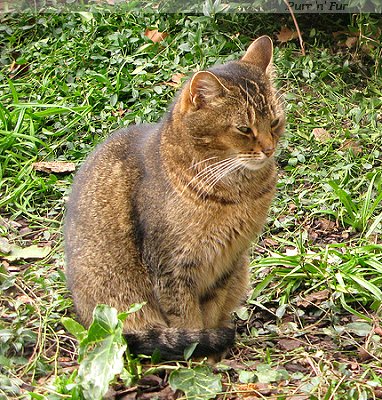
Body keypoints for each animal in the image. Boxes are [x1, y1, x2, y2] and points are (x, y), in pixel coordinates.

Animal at [64, 34, 284, 360]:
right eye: (244, 129)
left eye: (275, 122)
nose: (269, 149)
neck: (236, 193)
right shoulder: (172, 268)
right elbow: (187, 321)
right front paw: (200, 355)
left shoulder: (228, 261)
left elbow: (211, 312)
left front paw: (213, 350)